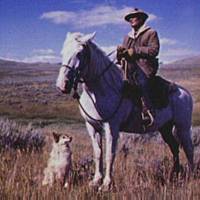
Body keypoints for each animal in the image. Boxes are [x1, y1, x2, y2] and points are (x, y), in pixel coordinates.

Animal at [56, 31, 194, 191]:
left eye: (79, 53)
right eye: (62, 52)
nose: (62, 84)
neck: (102, 89)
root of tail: (185, 93)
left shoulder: (112, 127)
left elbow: (109, 154)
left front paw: (106, 184)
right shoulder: (91, 126)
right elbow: (98, 153)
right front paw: (96, 180)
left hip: (183, 127)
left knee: (189, 149)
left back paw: (190, 176)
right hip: (165, 128)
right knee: (175, 147)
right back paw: (175, 174)